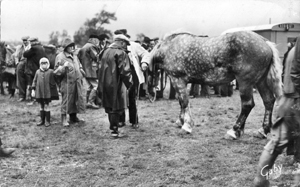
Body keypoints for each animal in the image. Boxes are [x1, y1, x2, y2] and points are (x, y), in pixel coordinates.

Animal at [149, 30, 282, 139]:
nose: (153, 91)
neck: (169, 47)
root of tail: (265, 42)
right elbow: (181, 103)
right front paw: (180, 121)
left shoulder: (178, 79)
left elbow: (184, 102)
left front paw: (186, 125)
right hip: (260, 81)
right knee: (268, 101)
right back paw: (262, 130)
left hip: (245, 82)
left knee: (247, 105)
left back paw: (234, 131)